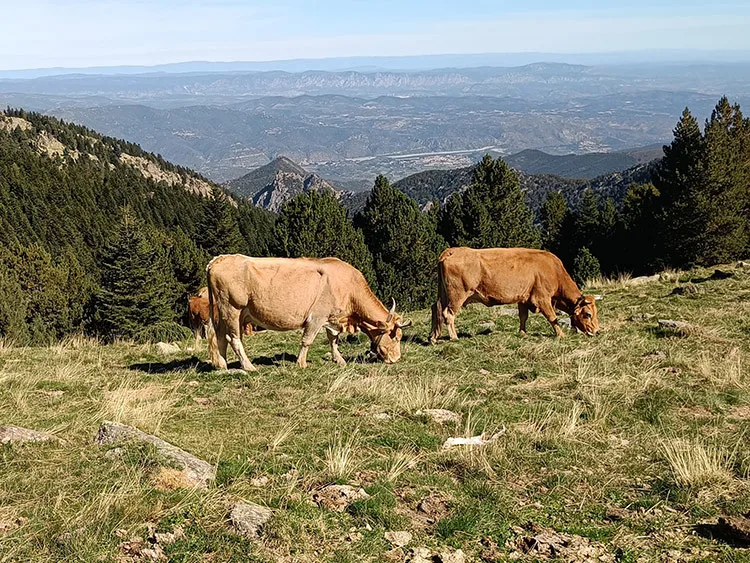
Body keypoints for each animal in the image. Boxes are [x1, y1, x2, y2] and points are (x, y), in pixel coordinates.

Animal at [206, 254, 411, 371]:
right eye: (396, 337)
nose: (396, 359)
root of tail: (219, 259)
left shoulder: (332, 318)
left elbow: (333, 339)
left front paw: (339, 360)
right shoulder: (317, 317)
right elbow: (307, 340)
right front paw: (301, 363)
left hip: (227, 313)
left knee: (221, 336)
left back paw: (223, 365)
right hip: (232, 308)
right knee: (233, 338)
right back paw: (249, 366)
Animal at [430, 247, 599, 343]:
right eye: (588, 314)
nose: (597, 331)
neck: (554, 271)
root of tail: (452, 251)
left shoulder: (523, 298)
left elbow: (523, 316)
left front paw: (523, 333)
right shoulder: (542, 298)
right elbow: (553, 317)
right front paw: (561, 334)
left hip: (444, 294)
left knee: (435, 308)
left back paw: (433, 337)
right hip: (457, 294)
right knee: (448, 313)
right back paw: (454, 337)